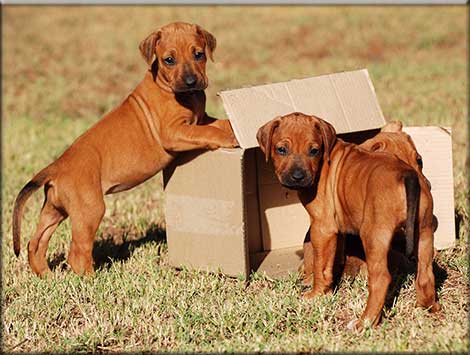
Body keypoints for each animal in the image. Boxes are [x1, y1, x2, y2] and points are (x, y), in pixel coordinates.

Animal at [13, 22, 239, 278]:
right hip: (89, 209)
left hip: (55, 209)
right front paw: (230, 137)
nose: (191, 81)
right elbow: (208, 132)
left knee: (36, 242)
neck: (180, 93)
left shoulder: (201, 119)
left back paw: (46, 276)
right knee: (78, 254)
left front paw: (235, 126)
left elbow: (218, 123)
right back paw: (92, 280)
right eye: (169, 60)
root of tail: (56, 167)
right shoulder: (172, 132)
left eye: (199, 54)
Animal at [258, 113, 440, 330]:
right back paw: (429, 308)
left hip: (374, 237)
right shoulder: (337, 230)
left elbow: (321, 265)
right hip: (424, 231)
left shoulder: (322, 227)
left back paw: (365, 322)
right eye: (281, 150)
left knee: (381, 279)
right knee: (426, 275)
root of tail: (406, 175)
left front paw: (316, 294)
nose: (298, 177)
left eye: (314, 151)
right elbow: (331, 258)